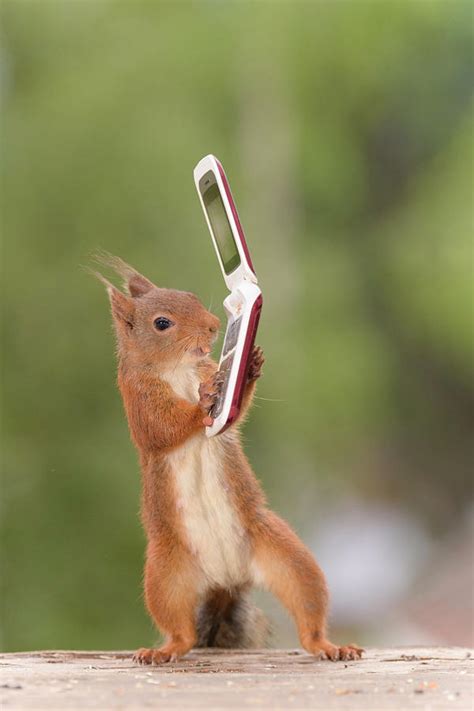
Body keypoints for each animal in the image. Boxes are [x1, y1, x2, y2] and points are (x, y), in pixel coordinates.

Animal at [93, 253, 362, 664]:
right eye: (162, 323)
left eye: (191, 296)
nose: (214, 325)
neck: (178, 369)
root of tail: (226, 581)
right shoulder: (138, 398)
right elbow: (162, 429)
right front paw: (204, 401)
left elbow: (235, 413)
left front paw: (248, 366)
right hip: (166, 576)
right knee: (181, 632)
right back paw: (164, 650)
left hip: (286, 558)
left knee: (308, 609)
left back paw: (330, 645)